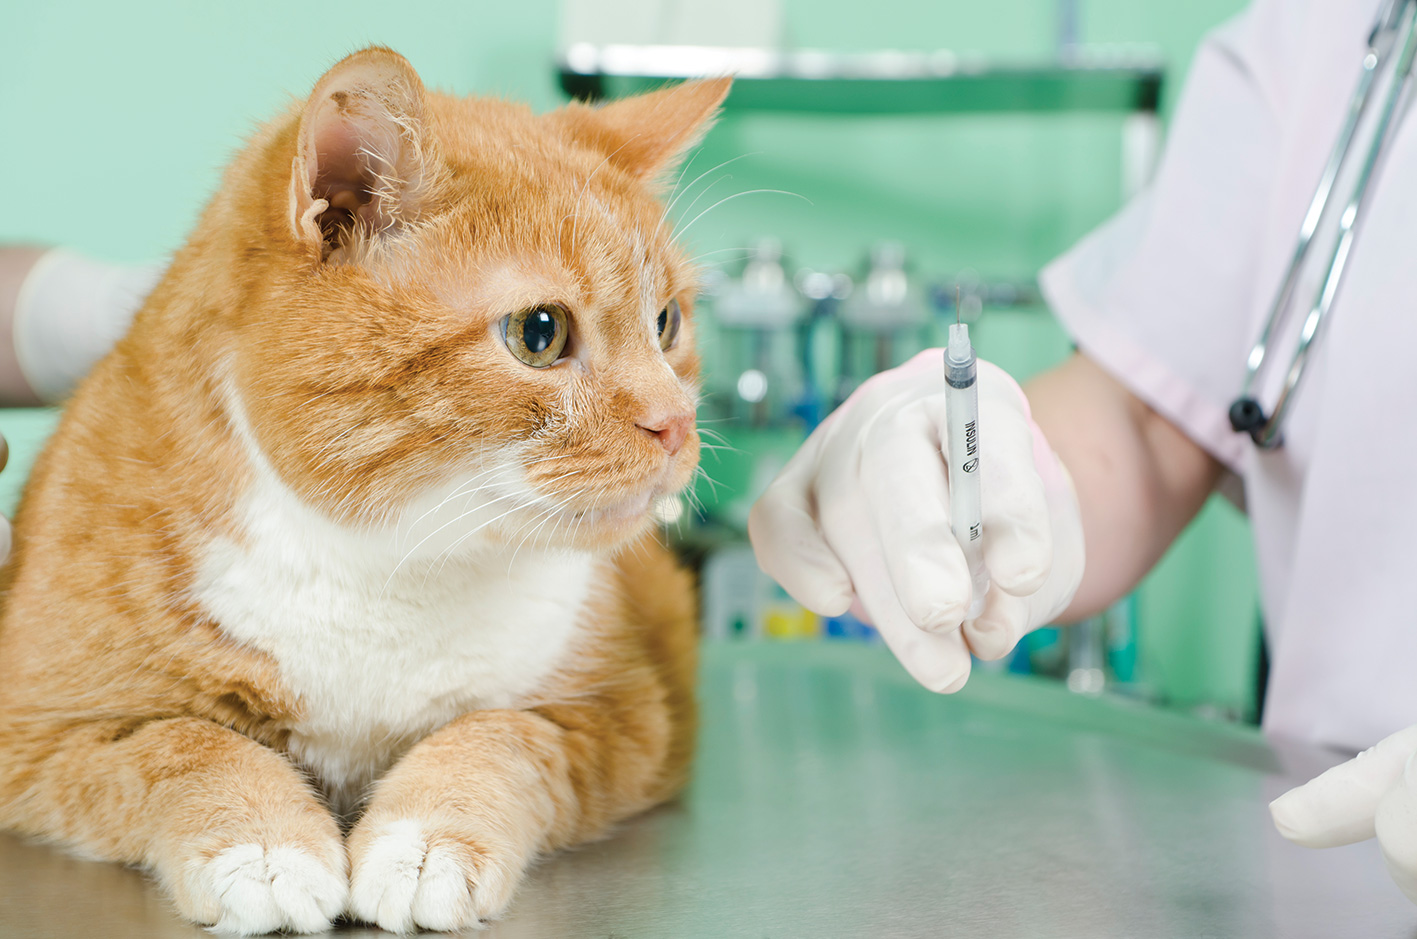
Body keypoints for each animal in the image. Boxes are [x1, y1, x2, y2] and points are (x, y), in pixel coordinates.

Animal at [0, 49, 731, 934]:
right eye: (539, 333)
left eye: (666, 324)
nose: (676, 424)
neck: (387, 566)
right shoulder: (41, 728)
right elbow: (184, 746)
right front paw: (265, 845)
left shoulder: (620, 713)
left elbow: (496, 737)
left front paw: (425, 843)